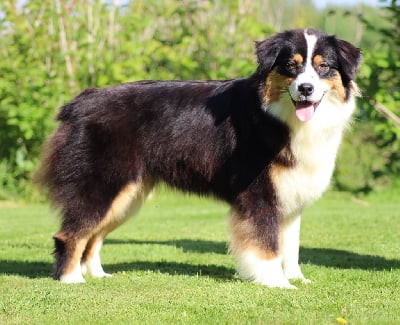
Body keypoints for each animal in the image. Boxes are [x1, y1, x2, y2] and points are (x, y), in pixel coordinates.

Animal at [36, 27, 362, 286]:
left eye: (324, 67)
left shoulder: (290, 196)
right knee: (72, 234)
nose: (305, 88)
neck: (278, 116)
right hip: (102, 185)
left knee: (94, 236)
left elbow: (290, 246)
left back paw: (97, 274)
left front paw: (297, 278)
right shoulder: (258, 194)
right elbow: (267, 244)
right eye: (290, 67)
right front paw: (277, 283)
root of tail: (80, 102)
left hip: (127, 195)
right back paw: (71, 279)